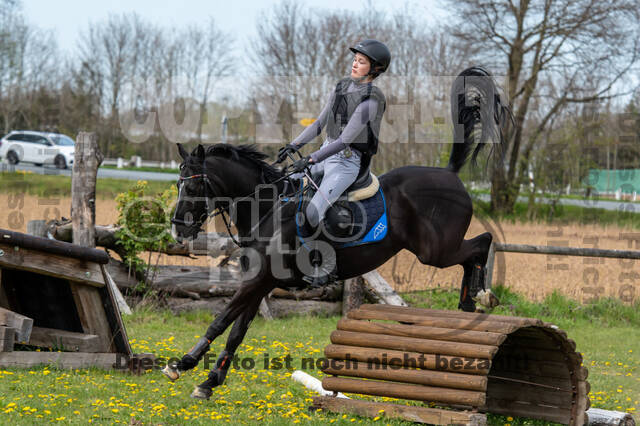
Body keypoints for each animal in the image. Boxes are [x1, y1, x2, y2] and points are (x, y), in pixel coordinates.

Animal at [164, 65, 510, 400]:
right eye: (178, 184)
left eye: (192, 187)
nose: (177, 230)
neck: (268, 210)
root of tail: (449, 174)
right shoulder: (261, 282)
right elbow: (237, 331)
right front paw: (209, 381)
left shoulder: (258, 280)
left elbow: (221, 319)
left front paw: (183, 364)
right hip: (434, 250)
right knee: (473, 252)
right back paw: (469, 304)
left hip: (435, 251)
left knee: (481, 244)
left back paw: (481, 294)